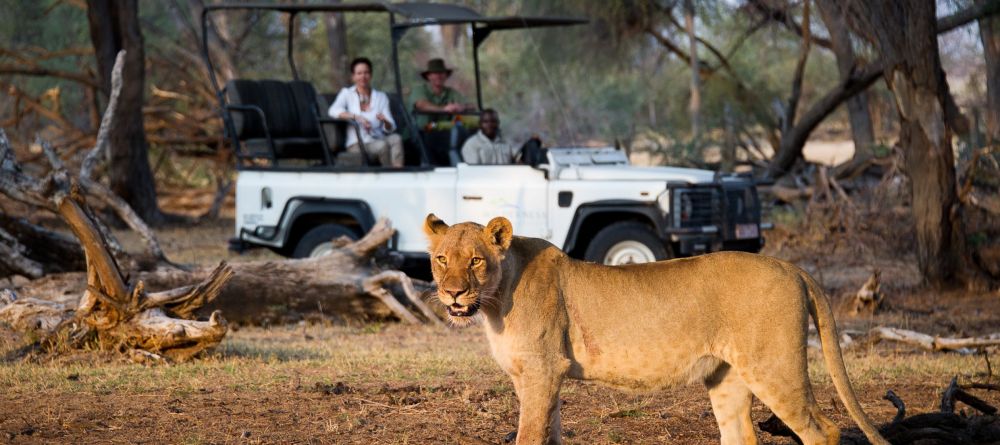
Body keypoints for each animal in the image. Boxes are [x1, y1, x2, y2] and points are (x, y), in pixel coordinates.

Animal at [423, 214, 890, 445]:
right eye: (442, 259)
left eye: (476, 260)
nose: (452, 294)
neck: (496, 301)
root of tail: (791, 266)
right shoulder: (538, 378)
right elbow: (549, 434)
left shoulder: (542, 371)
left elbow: (529, 436)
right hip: (727, 377)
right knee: (741, 435)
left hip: (775, 368)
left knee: (824, 431)